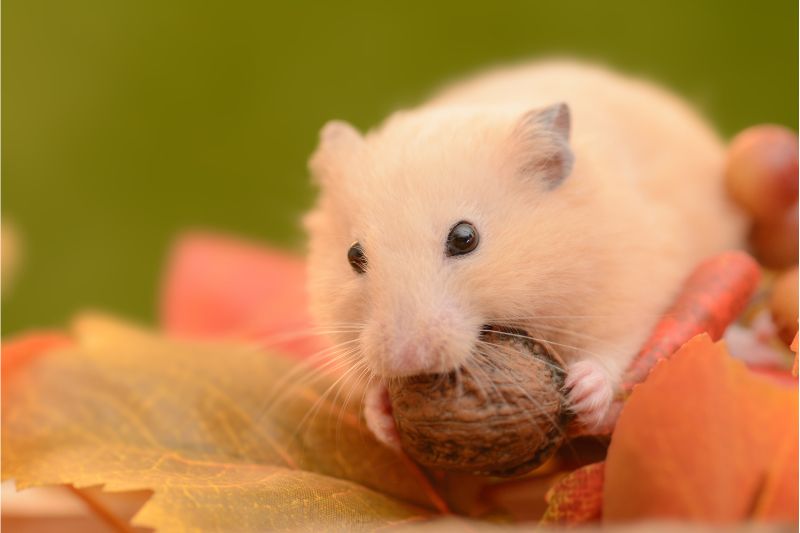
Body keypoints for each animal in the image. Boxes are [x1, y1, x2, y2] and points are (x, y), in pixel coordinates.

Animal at [304, 58, 748, 442]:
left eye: (464, 238)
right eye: (353, 255)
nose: (405, 360)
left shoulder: (631, 289)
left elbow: (612, 350)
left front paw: (582, 392)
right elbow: (369, 393)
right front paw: (381, 414)